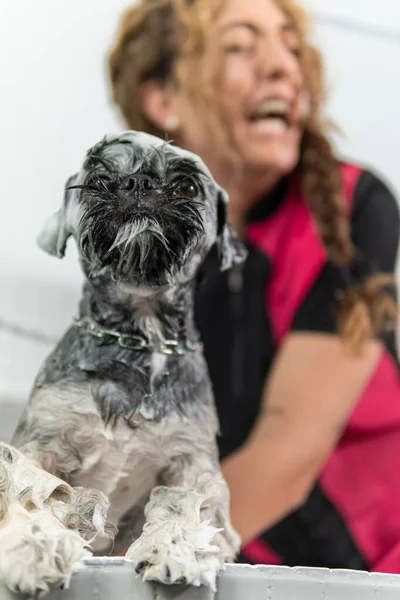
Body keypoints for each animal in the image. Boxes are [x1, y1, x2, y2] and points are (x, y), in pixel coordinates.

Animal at [0, 131, 244, 596]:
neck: (138, 339)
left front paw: (176, 547)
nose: (138, 183)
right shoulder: (43, 440)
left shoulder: (190, 457)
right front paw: (33, 545)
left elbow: (186, 503)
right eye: (98, 178)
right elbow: (35, 492)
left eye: (187, 186)